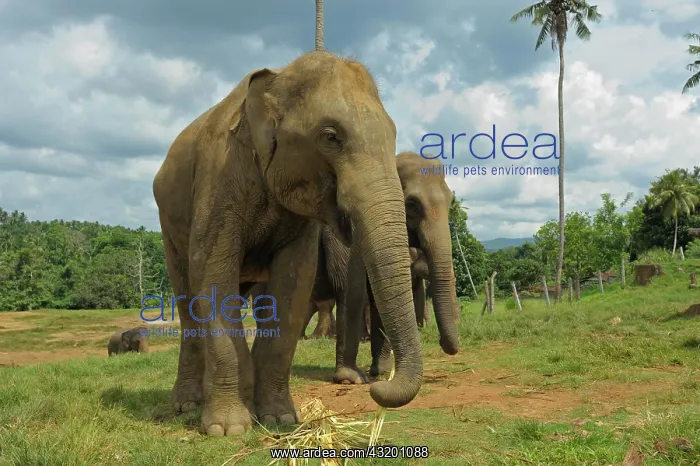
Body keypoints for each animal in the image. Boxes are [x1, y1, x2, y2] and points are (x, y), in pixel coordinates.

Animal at [152, 51, 423, 437]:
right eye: (331, 137)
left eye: (393, 136)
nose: (375, 385)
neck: (279, 76)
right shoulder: (217, 178)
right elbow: (212, 275)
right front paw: (227, 429)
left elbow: (294, 284)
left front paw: (279, 419)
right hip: (168, 223)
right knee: (188, 299)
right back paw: (186, 406)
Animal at [335, 151, 461, 383]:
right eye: (411, 204)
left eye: (451, 202)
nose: (442, 342)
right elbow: (356, 285)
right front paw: (349, 379)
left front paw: (381, 372)